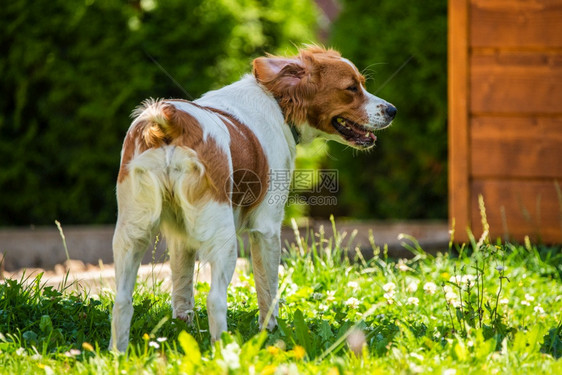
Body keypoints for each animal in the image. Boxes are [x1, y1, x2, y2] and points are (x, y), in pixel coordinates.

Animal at [108, 47, 394, 352]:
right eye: (352, 88)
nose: (393, 110)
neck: (277, 103)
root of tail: (172, 122)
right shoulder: (266, 229)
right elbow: (268, 290)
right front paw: (271, 333)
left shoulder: (181, 239)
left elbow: (182, 294)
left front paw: (184, 332)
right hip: (224, 240)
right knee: (215, 300)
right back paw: (223, 350)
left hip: (131, 233)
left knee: (122, 301)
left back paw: (118, 354)